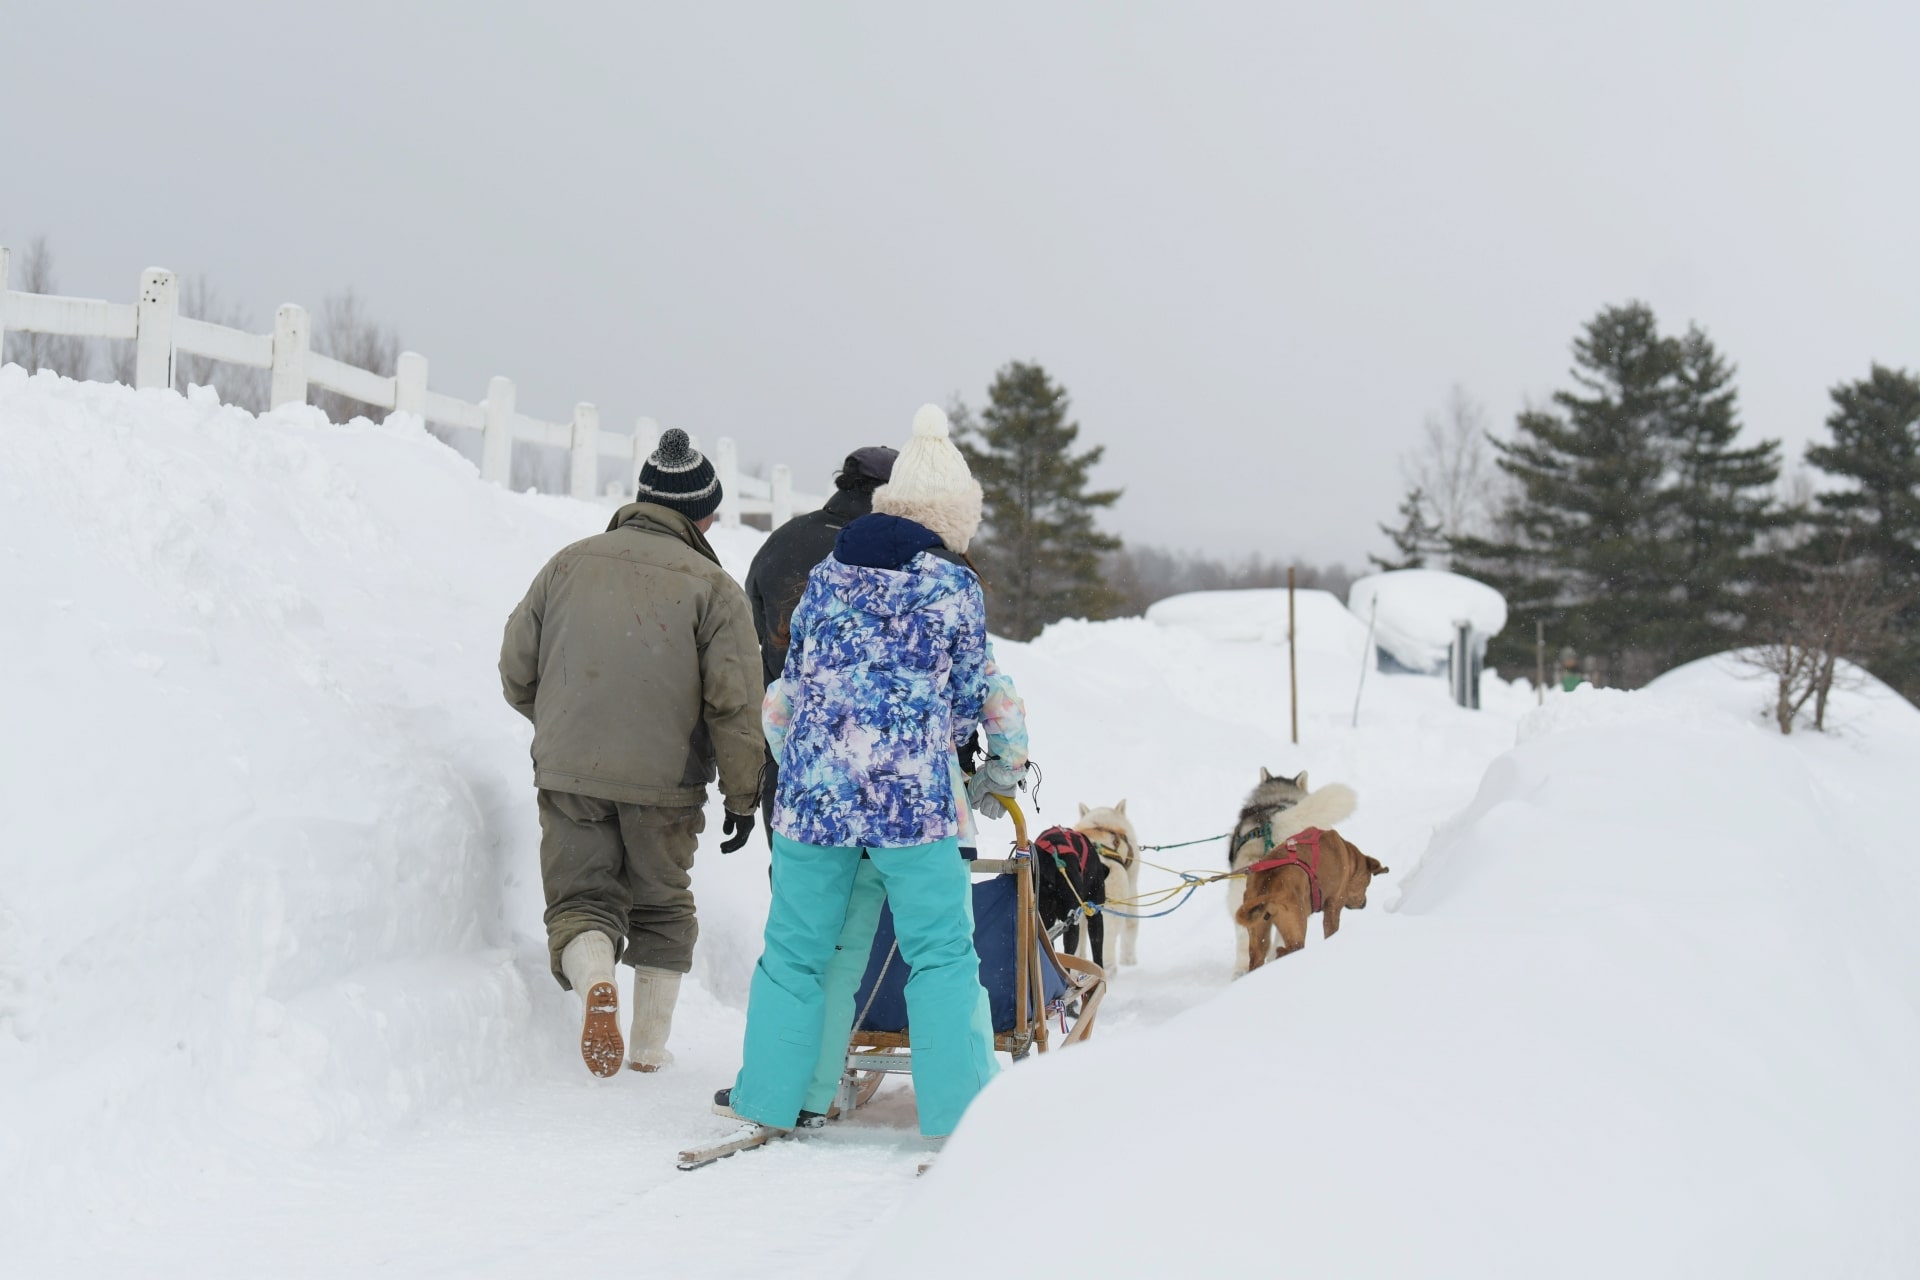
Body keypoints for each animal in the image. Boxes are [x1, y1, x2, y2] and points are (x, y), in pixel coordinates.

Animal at [1236, 832, 1390, 971]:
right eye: (1367, 884)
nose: (1364, 904)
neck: (1349, 856)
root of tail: (1268, 881)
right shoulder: (1334, 904)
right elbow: (1331, 930)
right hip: (1295, 921)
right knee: (1294, 946)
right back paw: (1281, 952)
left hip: (1258, 930)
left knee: (1257, 959)